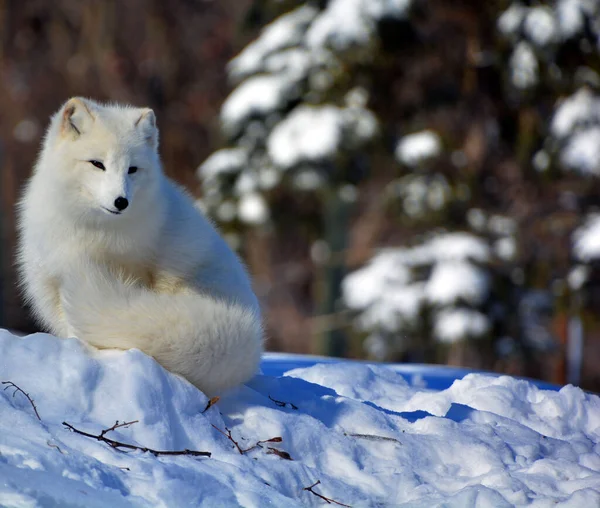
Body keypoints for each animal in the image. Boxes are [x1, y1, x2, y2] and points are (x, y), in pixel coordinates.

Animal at [16, 97, 264, 394]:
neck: (92, 230)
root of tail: (251, 329)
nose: (121, 201)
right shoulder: (51, 280)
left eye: (132, 169)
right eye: (97, 164)